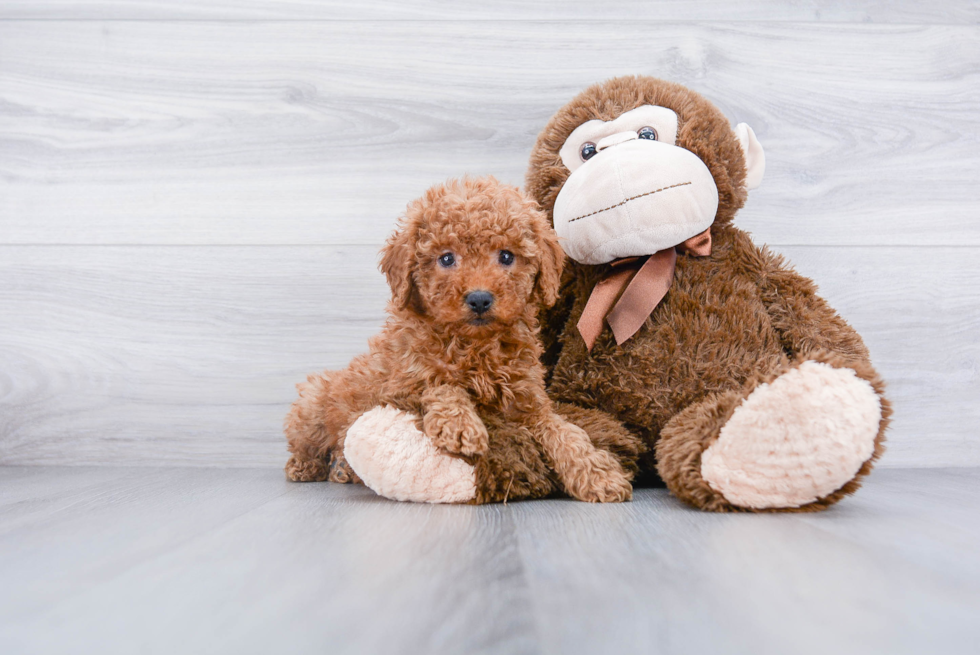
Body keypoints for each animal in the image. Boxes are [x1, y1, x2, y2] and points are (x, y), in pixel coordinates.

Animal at [284, 177, 640, 504]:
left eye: (506, 256)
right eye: (446, 259)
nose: (479, 298)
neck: (475, 346)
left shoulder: (528, 403)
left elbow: (563, 431)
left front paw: (597, 473)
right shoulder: (399, 386)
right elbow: (441, 384)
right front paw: (460, 426)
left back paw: (342, 468)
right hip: (313, 405)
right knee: (306, 441)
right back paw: (307, 467)